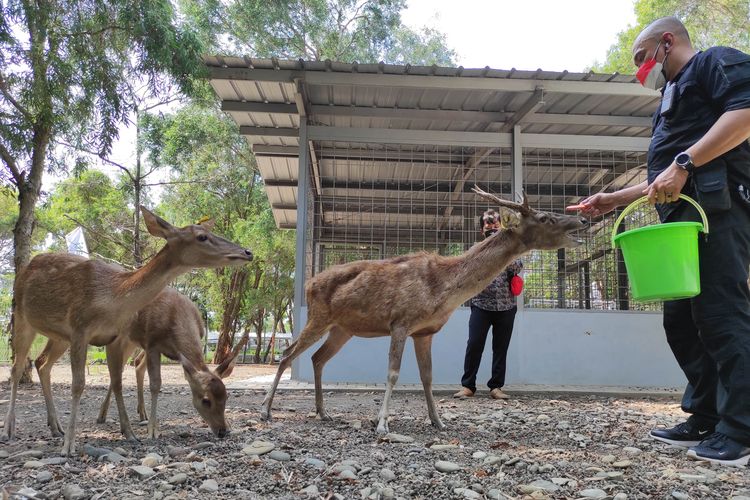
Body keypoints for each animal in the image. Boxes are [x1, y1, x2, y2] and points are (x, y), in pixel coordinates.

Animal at [5, 205, 256, 456]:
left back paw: (55, 426)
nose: (247, 252)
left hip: (59, 337)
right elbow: (79, 385)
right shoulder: (80, 329)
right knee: (17, 367)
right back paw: (11, 428)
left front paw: (130, 433)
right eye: (202, 236)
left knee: (42, 363)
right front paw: (69, 445)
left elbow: (117, 381)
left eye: (227, 396)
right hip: (21, 316)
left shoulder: (115, 337)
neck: (110, 299)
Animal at [262, 187, 592, 434]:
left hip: (343, 329)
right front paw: (382, 424)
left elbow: (428, 377)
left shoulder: (425, 332)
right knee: (287, 353)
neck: (441, 291)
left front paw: (438, 421)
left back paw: (322, 412)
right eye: (544, 217)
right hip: (318, 317)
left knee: (317, 359)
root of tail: (308, 283)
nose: (582, 221)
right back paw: (266, 410)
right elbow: (393, 373)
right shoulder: (400, 321)